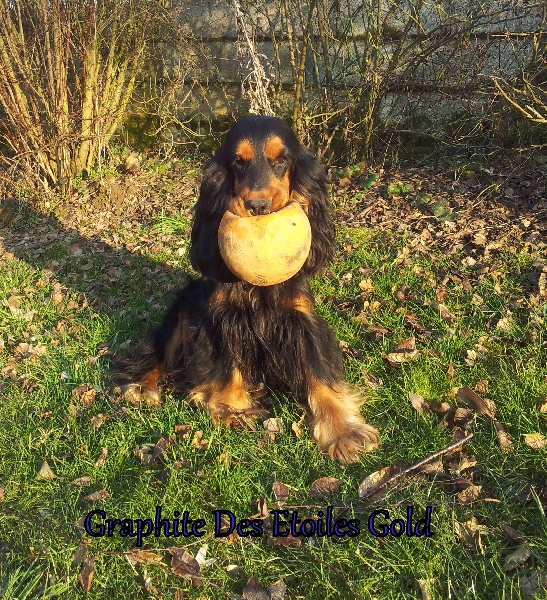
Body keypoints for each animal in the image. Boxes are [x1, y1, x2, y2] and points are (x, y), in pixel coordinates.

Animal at [114, 115, 379, 463]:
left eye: (281, 160)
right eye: (238, 162)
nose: (257, 205)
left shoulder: (300, 317)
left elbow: (318, 368)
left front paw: (343, 430)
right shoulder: (222, 317)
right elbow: (228, 361)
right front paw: (233, 408)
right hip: (183, 311)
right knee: (157, 354)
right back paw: (143, 388)